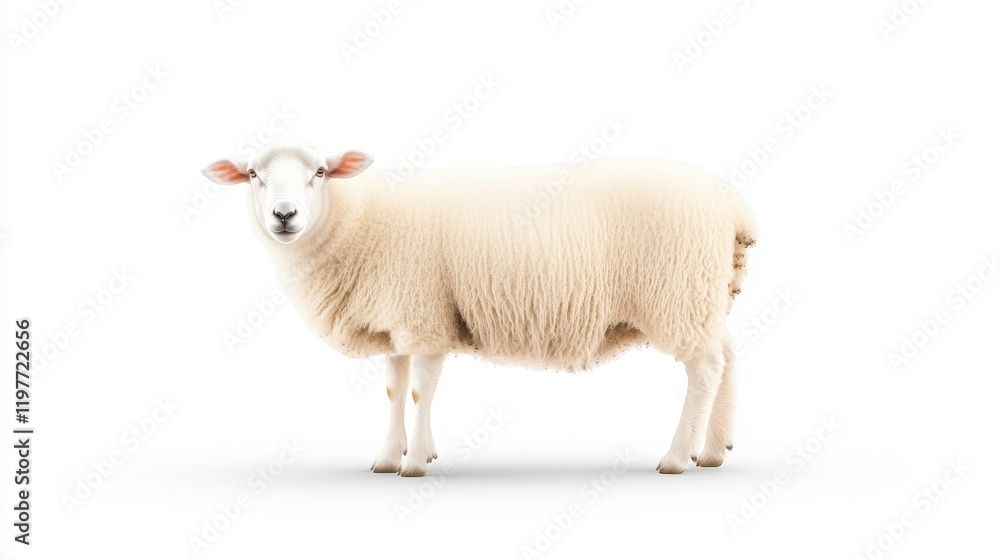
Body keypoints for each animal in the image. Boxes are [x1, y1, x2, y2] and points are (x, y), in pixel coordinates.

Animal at [202, 139, 758, 477]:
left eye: (319, 172)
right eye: (252, 174)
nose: (284, 214)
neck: (358, 222)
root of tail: (732, 204)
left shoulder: (424, 317)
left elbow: (419, 392)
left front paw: (416, 461)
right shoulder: (397, 325)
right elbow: (394, 390)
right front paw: (387, 457)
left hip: (677, 295)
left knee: (705, 368)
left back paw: (677, 456)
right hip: (704, 298)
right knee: (729, 357)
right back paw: (714, 450)